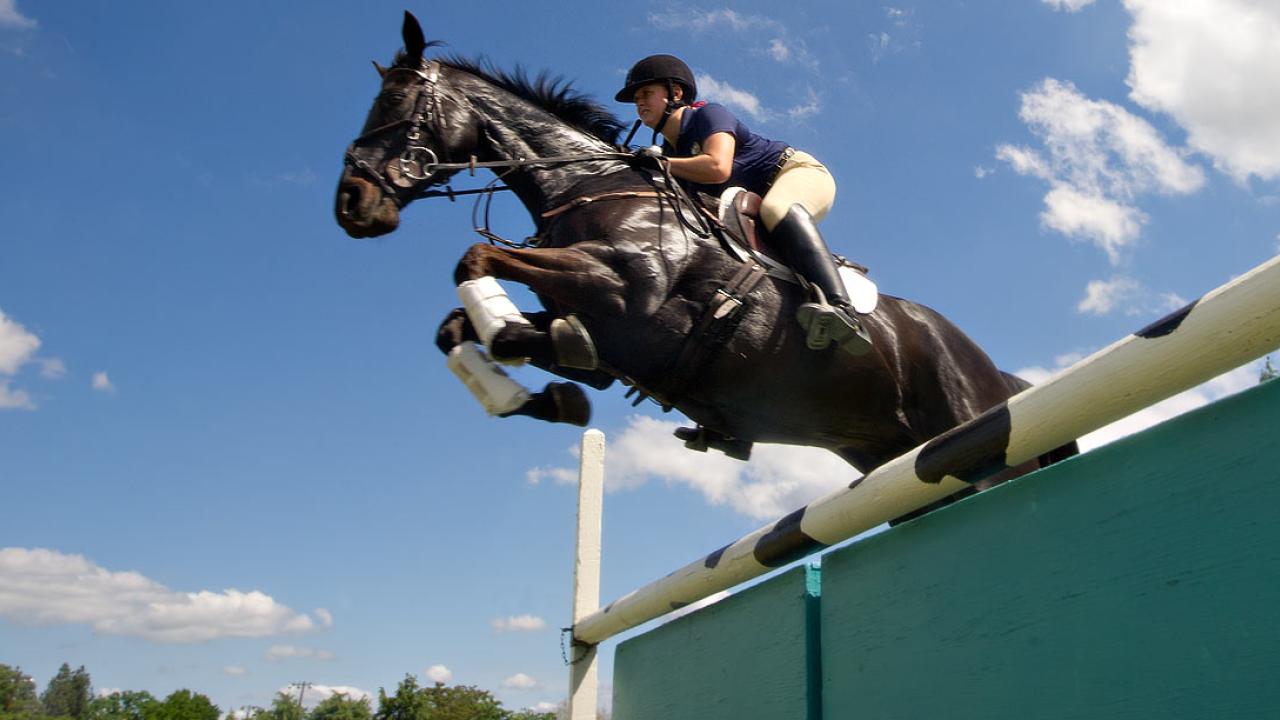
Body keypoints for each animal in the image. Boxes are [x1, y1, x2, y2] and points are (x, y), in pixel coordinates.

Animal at [335, 13, 1076, 517]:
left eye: (396, 104)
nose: (351, 204)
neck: (588, 184)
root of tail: (996, 373)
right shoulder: (603, 333)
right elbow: (462, 329)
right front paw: (543, 397)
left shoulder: (622, 292)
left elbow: (476, 259)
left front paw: (521, 351)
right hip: (902, 462)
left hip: (970, 432)